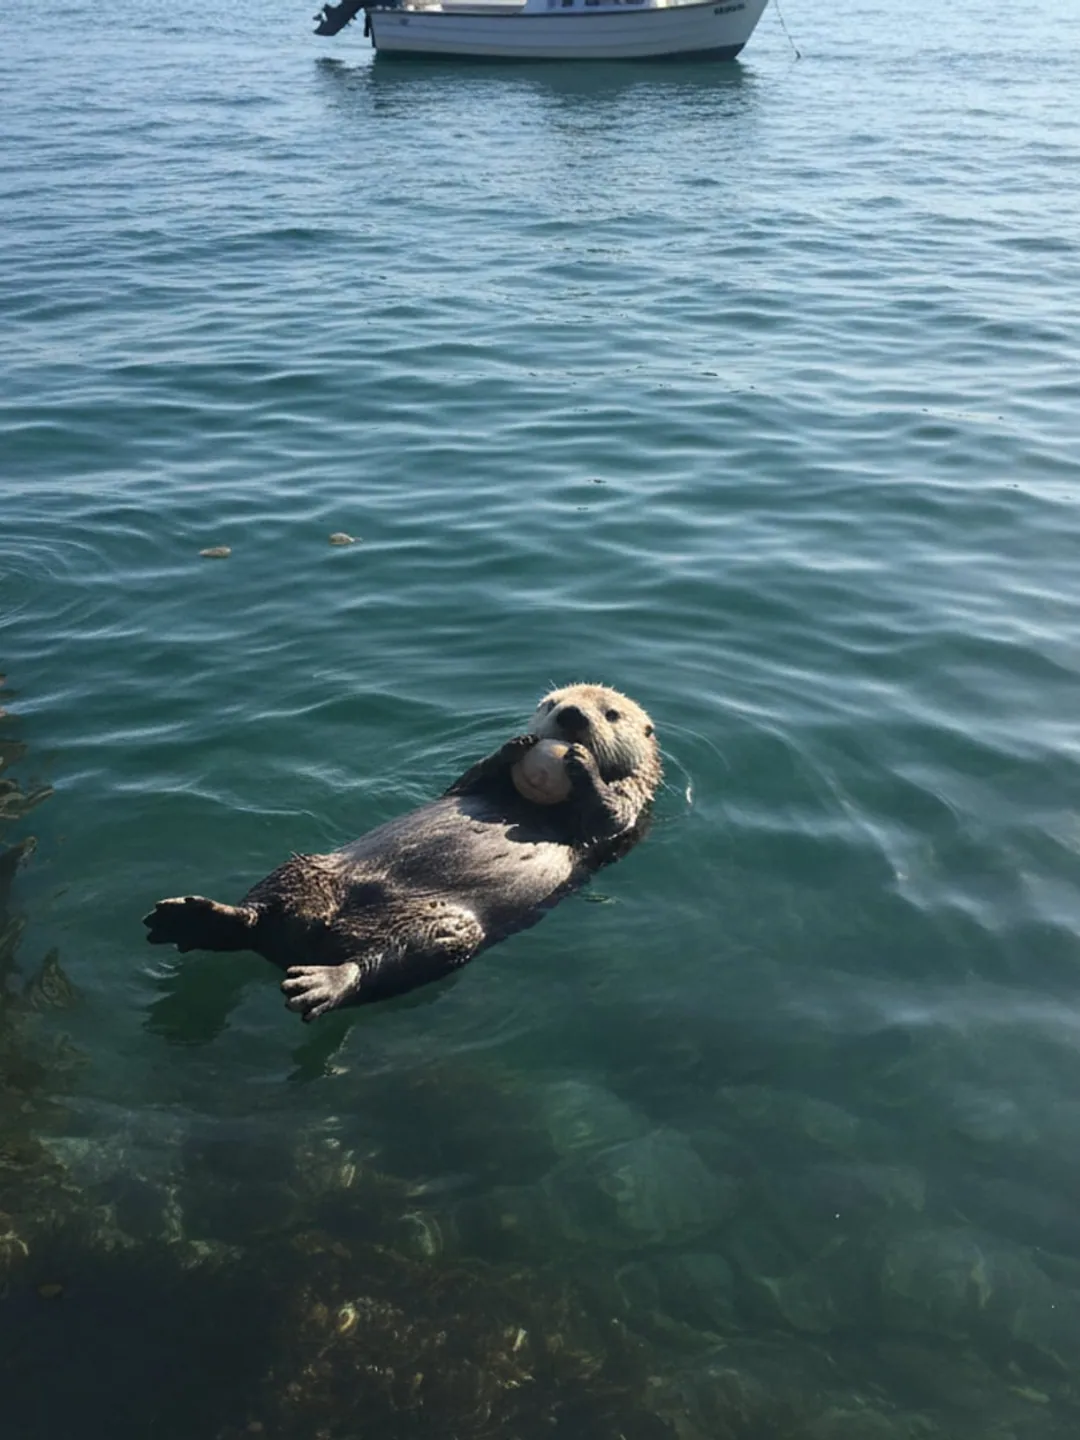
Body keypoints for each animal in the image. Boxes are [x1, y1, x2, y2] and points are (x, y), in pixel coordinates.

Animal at [143, 684, 661, 1022]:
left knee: (379, 966)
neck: (532, 802)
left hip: (443, 930)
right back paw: (194, 919)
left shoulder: (631, 811)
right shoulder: (473, 784)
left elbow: (608, 814)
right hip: (306, 869)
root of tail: (299, 945)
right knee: (258, 914)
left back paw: (319, 985)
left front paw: (581, 762)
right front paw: (517, 744)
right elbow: (471, 776)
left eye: (611, 714)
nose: (571, 716)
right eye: (552, 704)